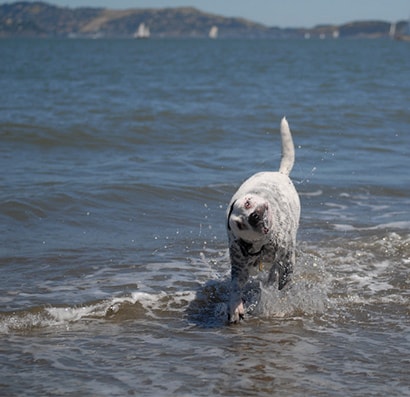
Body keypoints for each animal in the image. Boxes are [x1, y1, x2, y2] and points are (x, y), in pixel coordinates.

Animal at [226, 117, 300, 322]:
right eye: (241, 224)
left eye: (248, 203)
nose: (255, 215)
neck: (263, 245)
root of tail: (280, 173)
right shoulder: (239, 267)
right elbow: (235, 287)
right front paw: (235, 307)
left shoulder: (286, 257)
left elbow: (282, 281)